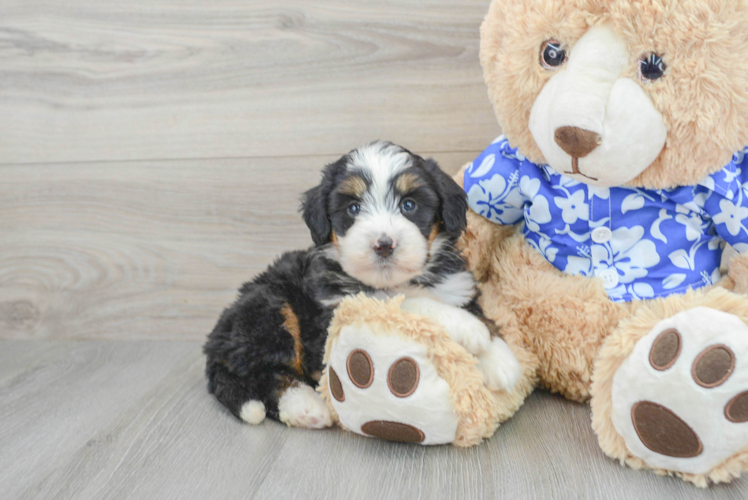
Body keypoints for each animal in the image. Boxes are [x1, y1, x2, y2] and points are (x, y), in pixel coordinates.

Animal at [203, 142, 520, 430]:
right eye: (353, 208)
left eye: (409, 205)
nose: (384, 244)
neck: (397, 279)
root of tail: (215, 339)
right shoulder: (339, 307)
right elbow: (406, 303)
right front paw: (468, 328)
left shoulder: (455, 285)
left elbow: (480, 314)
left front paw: (500, 358)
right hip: (271, 308)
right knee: (258, 375)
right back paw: (305, 406)